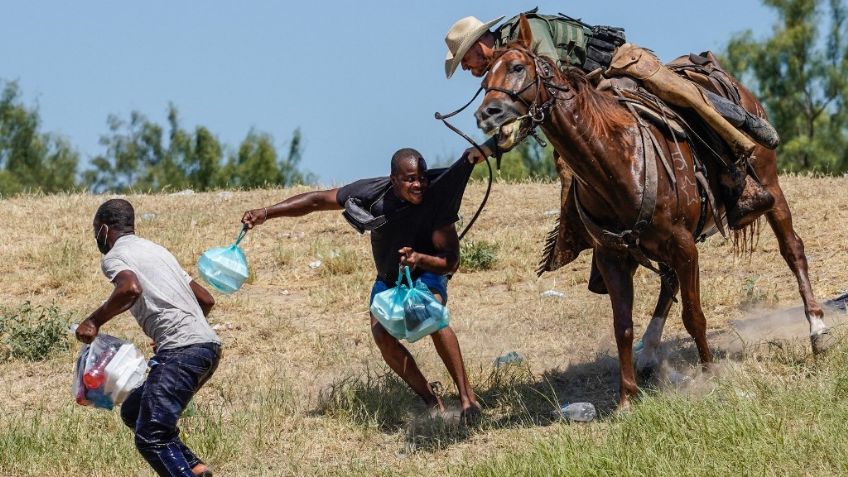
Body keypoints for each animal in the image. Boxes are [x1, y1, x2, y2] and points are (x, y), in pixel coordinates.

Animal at [474, 16, 832, 408]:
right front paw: (626, 398)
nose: (486, 114)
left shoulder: (683, 245)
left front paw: (709, 374)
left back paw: (818, 330)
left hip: (770, 187)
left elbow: (694, 315)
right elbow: (623, 326)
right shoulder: (613, 256)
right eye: (484, 79)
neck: (615, 158)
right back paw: (648, 352)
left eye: (517, 67)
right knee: (668, 282)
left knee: (792, 249)